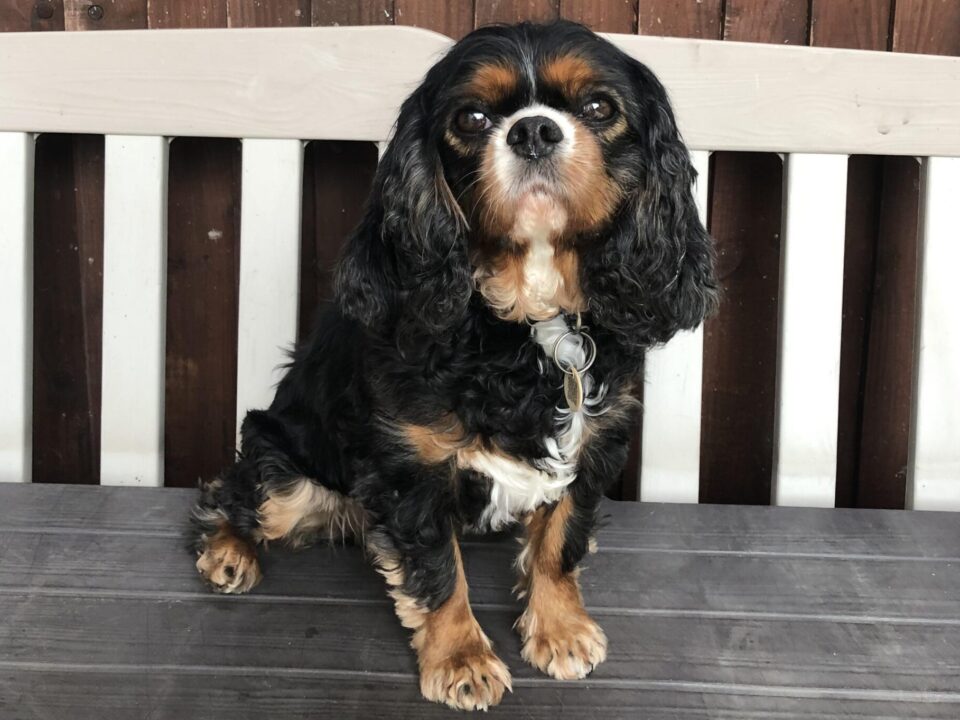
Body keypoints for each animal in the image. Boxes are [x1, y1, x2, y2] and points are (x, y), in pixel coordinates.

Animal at [191, 19, 716, 712]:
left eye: (600, 108)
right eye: (471, 118)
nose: (534, 130)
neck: (528, 320)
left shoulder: (595, 444)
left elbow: (561, 540)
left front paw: (559, 628)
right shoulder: (412, 471)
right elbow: (440, 573)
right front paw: (462, 659)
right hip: (281, 462)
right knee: (232, 494)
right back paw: (229, 553)